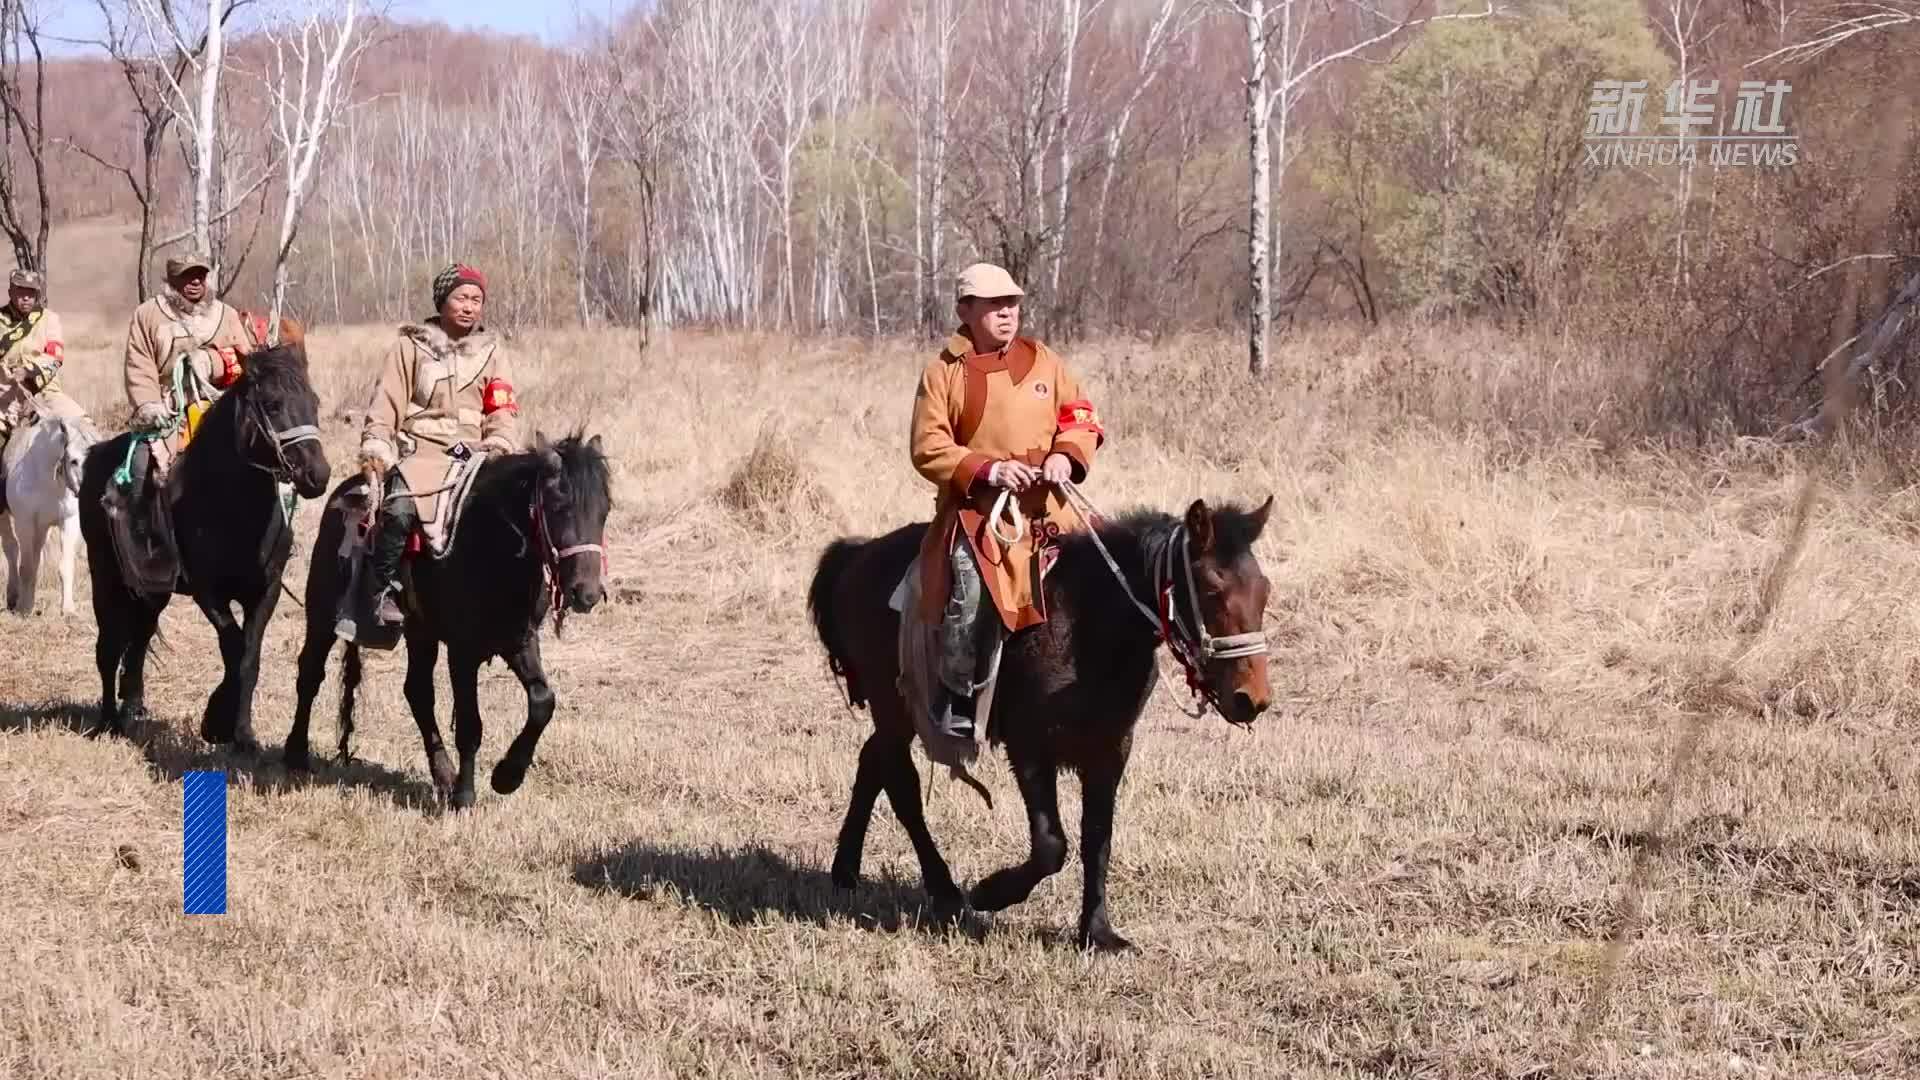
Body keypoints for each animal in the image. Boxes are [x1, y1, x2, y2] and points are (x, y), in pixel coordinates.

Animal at [2, 411, 98, 614]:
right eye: (73, 461)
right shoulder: (24, 523)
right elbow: (26, 567)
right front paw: (24, 609)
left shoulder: (69, 521)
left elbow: (65, 565)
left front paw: (68, 610)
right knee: (11, 549)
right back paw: (14, 598)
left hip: (42, 528)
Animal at [78, 336, 332, 749]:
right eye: (273, 404)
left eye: (314, 401)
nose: (317, 474)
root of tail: (92, 458)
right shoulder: (208, 592)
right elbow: (233, 646)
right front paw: (218, 721)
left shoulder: (266, 591)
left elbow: (249, 656)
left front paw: (242, 734)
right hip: (105, 577)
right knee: (109, 646)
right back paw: (109, 722)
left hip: (152, 592)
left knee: (138, 640)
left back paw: (132, 708)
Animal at [284, 424, 610, 803]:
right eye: (559, 506)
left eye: (604, 510)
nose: (586, 593)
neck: (491, 544)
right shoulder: (462, 650)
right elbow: (470, 725)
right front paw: (466, 796)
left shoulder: (519, 639)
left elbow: (543, 701)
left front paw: (507, 776)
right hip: (322, 614)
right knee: (310, 673)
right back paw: (295, 753)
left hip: (420, 633)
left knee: (418, 692)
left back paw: (442, 775)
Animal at [806, 488, 1274, 949]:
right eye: (1211, 589)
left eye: (1264, 590)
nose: (1251, 699)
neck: (1086, 627)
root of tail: (859, 554)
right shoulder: (1030, 745)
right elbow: (1051, 845)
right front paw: (991, 893)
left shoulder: (1111, 746)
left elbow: (1097, 837)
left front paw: (1098, 932)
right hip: (895, 707)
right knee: (902, 786)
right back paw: (945, 891)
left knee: (873, 761)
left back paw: (846, 869)